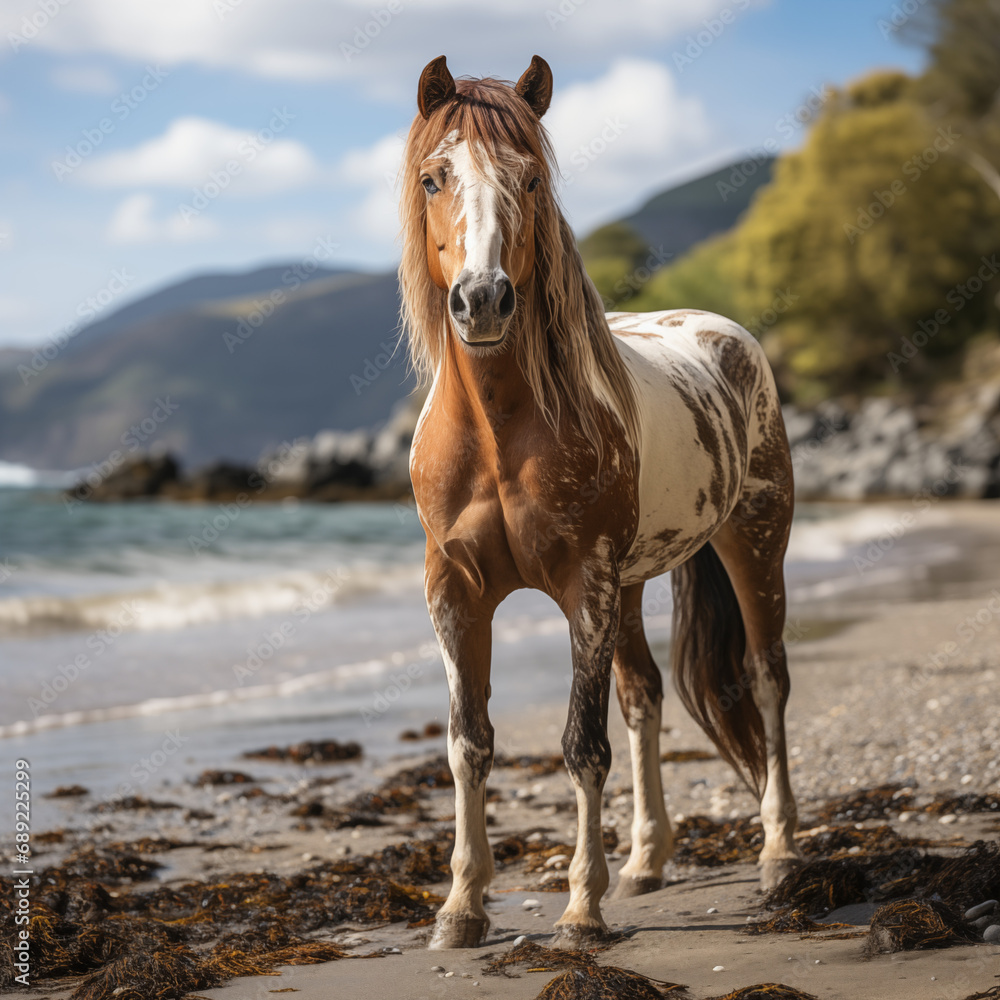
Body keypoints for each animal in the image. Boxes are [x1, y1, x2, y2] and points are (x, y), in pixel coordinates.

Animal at [401, 54, 800, 951]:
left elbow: (581, 746)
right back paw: (647, 862)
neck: (501, 431)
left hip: (754, 544)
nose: (483, 300)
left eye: (532, 179)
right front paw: (461, 907)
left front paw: (581, 911)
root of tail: (728, 336)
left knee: (766, 682)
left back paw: (780, 854)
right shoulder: (455, 593)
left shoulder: (585, 585)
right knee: (645, 696)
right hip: (635, 582)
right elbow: (468, 744)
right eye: (435, 176)